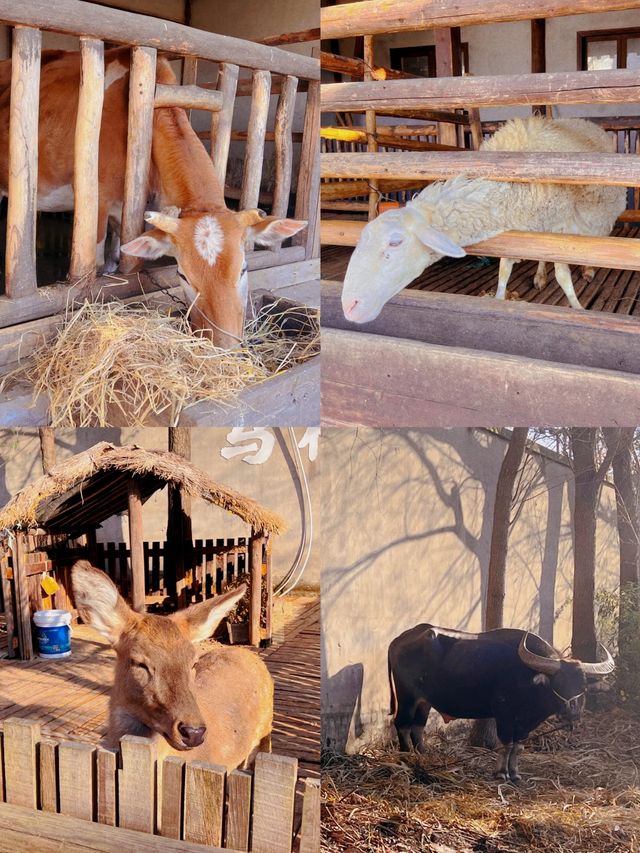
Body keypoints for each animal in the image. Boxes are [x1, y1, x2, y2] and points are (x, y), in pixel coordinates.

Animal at [0, 47, 308, 342]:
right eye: (183, 275)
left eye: (243, 269)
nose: (226, 345)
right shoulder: (96, 203)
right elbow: (97, 267)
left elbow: (116, 258)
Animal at [342, 116, 628, 322]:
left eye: (395, 243)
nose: (348, 306)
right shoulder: (519, 228)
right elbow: (505, 268)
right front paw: (500, 298)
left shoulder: (560, 227)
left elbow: (563, 275)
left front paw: (578, 308)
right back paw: (539, 276)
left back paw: (587, 270)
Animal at [388, 624, 612, 780]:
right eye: (559, 683)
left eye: (583, 685)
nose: (572, 713)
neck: (528, 679)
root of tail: (398, 640)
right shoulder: (503, 713)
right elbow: (505, 744)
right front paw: (501, 773)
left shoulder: (524, 723)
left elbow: (518, 746)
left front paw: (515, 773)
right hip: (407, 697)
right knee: (402, 724)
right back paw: (405, 757)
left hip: (424, 701)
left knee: (417, 726)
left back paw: (423, 755)